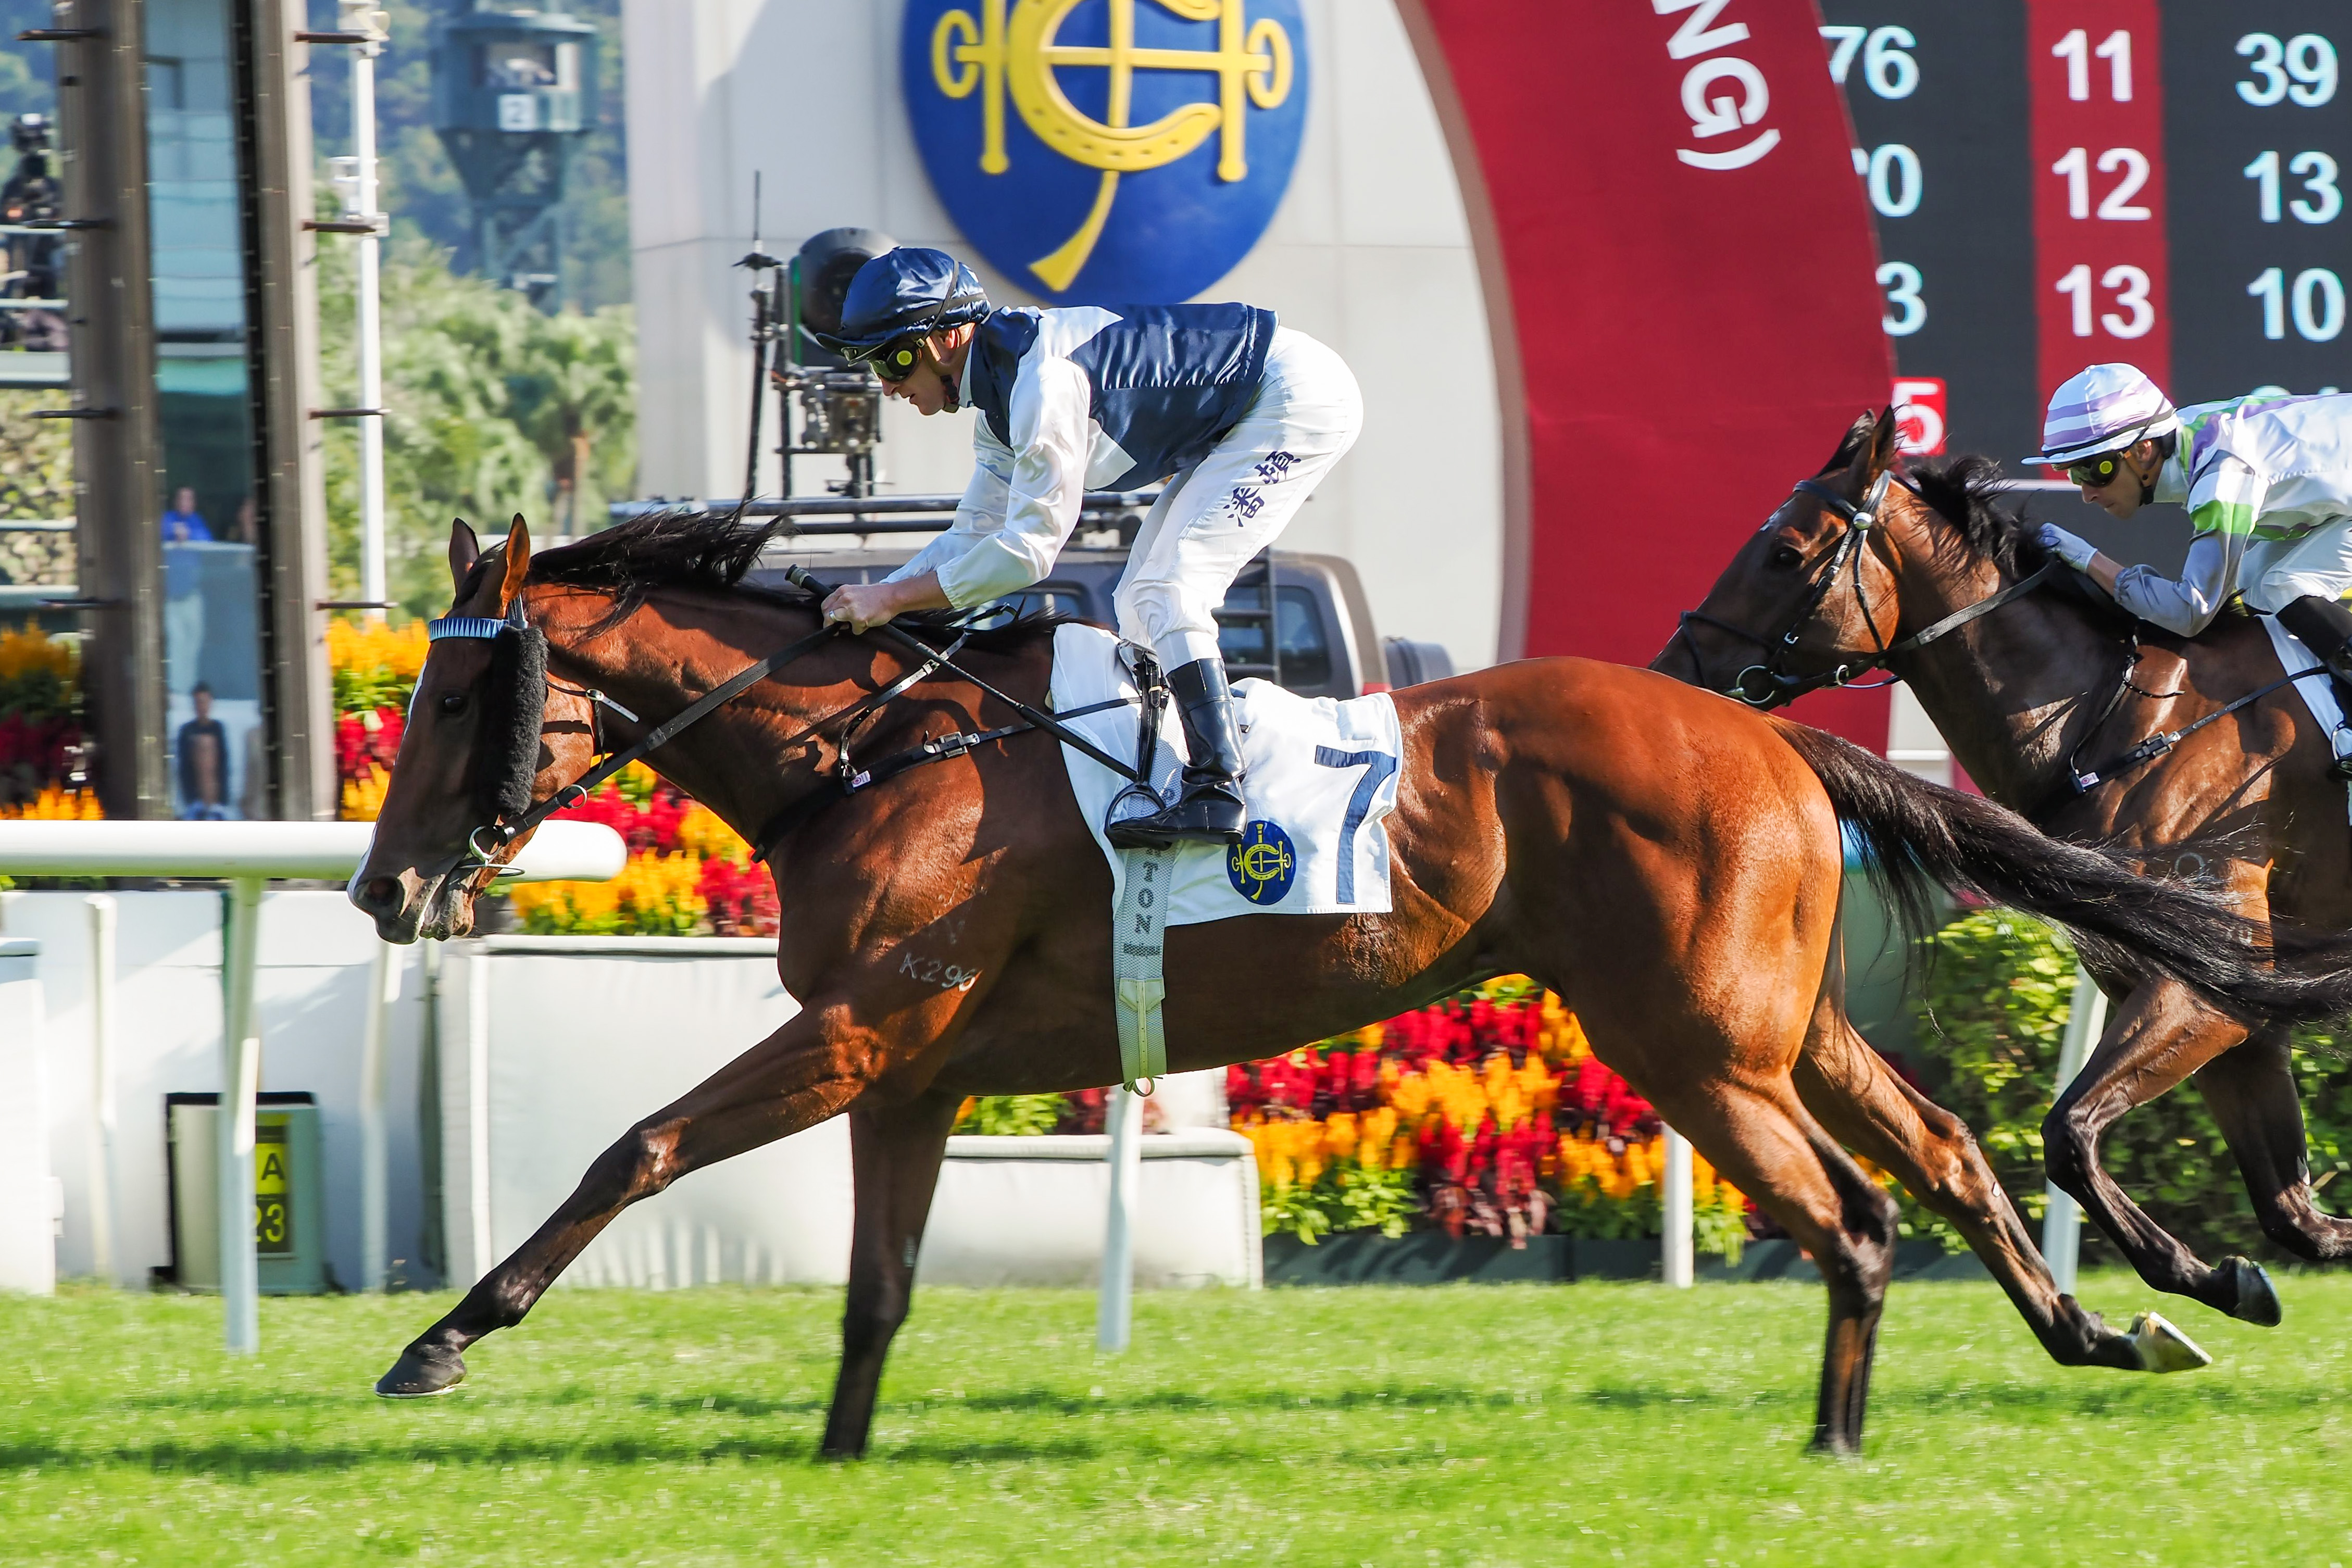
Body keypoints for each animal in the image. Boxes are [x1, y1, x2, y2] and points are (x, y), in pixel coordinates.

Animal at [349, 509, 2352, 1456]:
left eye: (449, 691)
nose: (378, 887)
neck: (877, 753)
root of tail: (1770, 738)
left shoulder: (853, 1031)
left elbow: (635, 1146)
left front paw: (441, 1338)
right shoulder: (907, 1070)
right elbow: (875, 1289)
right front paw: (839, 1460)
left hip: (1688, 1041)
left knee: (1853, 1211)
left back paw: (1852, 1431)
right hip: (1767, 1022)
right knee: (1938, 1151)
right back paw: (2122, 1319)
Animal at [1661, 407, 2352, 1329]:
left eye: (1784, 551)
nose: (1673, 671)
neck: (2115, 714)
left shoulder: (2205, 988)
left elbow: (2067, 1134)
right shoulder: (2232, 1002)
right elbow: (2294, 1215)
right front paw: (2225, 1279)